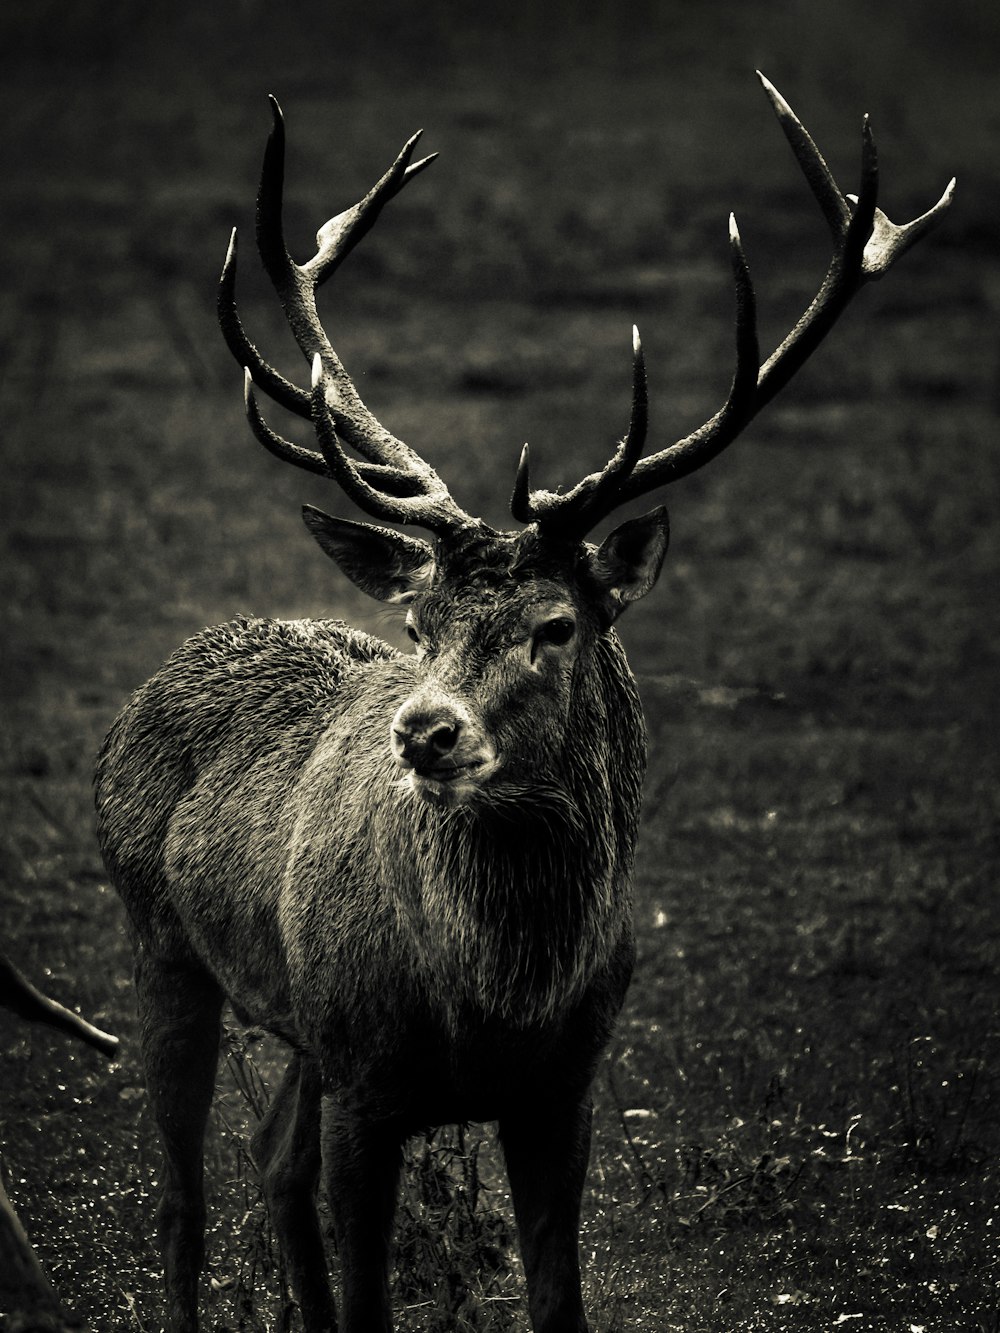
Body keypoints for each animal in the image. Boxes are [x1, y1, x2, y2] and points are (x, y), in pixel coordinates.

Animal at [94, 70, 954, 1333]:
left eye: (556, 626)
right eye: (417, 627)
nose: (422, 730)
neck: (493, 999)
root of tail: (147, 687)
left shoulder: (564, 1085)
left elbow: (559, 1298)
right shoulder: (368, 1079)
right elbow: (368, 1294)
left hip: (296, 1019)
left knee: (270, 1160)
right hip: (157, 940)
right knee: (180, 1202)